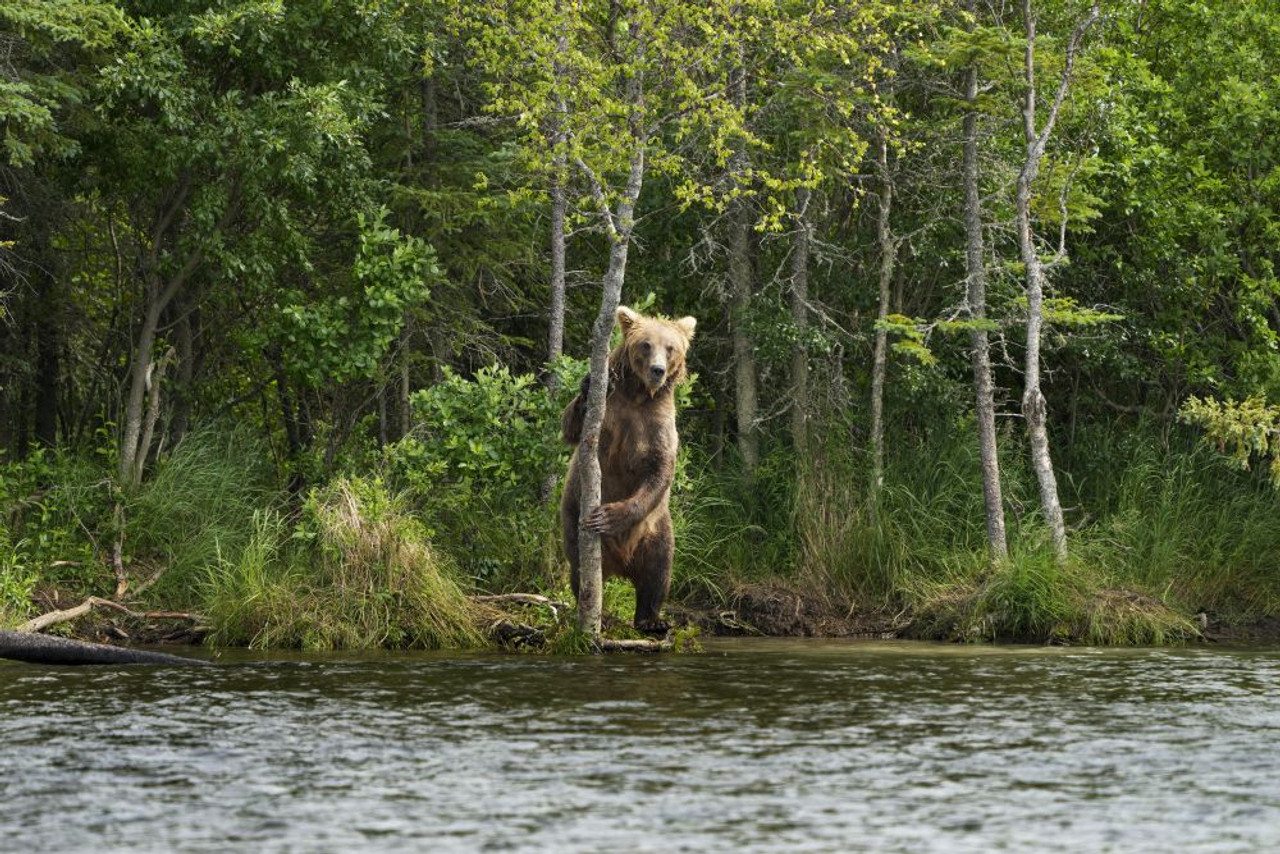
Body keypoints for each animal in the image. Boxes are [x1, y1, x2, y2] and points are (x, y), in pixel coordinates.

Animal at [563, 303, 701, 632]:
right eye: (646, 344)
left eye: (671, 347)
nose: (657, 370)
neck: (638, 395)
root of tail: (620, 564)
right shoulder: (612, 411)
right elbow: (571, 427)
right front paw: (588, 385)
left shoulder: (657, 425)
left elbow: (660, 471)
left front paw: (608, 516)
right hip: (572, 514)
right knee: (579, 568)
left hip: (656, 531)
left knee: (658, 572)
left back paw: (652, 620)